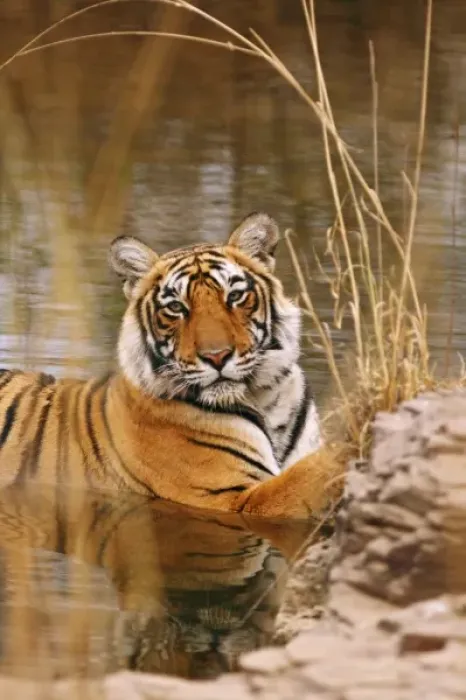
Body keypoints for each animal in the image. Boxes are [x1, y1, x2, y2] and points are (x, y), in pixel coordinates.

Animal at [0, 212, 344, 518]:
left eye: (234, 296)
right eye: (176, 307)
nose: (217, 356)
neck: (266, 399)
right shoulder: (232, 498)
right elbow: (312, 474)